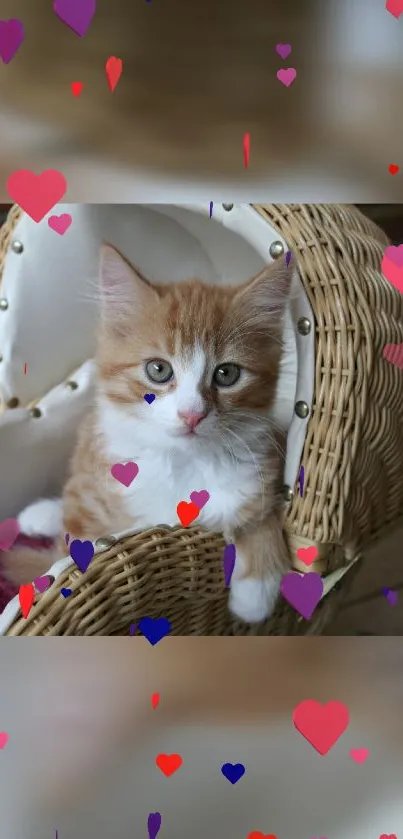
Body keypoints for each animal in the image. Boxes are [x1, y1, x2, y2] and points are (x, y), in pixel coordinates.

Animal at [3, 246, 294, 628]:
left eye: (227, 374)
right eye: (158, 370)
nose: (192, 414)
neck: (182, 463)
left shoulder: (266, 466)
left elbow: (260, 515)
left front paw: (256, 590)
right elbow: (73, 544)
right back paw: (38, 515)